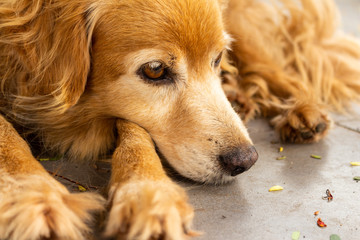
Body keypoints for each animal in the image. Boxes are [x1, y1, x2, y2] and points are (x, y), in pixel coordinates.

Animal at [0, 0, 358, 239]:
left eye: (217, 58)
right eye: (155, 70)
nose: (246, 160)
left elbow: (136, 134)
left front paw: (150, 194)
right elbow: (7, 139)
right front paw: (34, 196)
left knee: (270, 66)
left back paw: (304, 111)